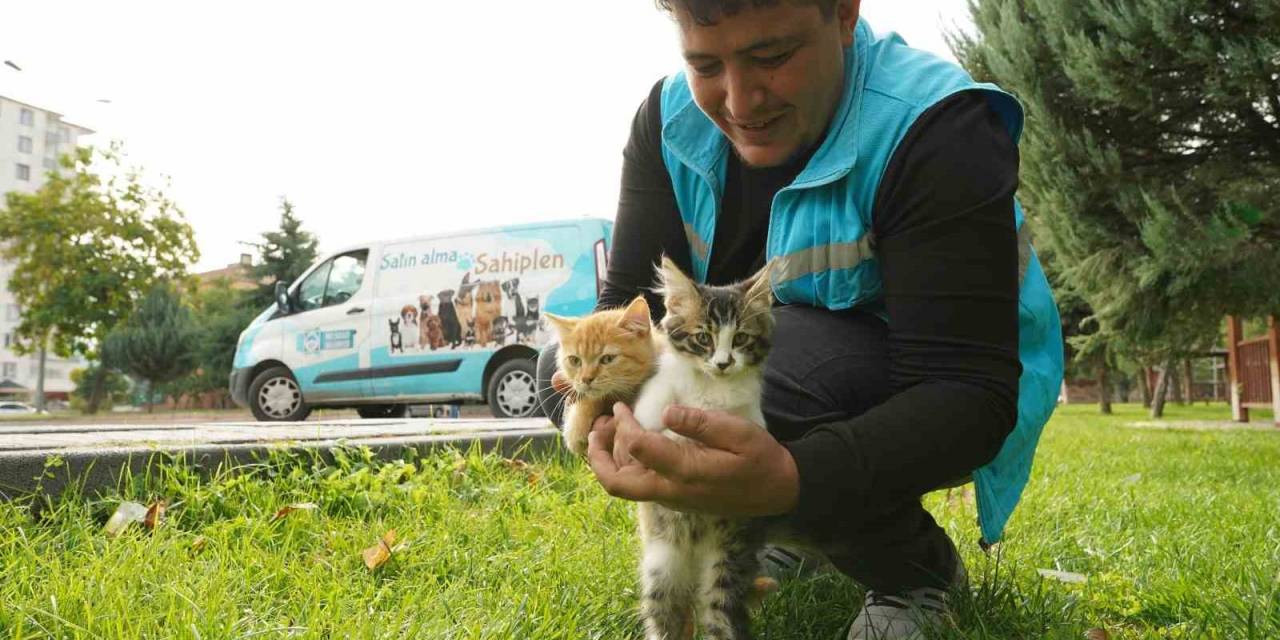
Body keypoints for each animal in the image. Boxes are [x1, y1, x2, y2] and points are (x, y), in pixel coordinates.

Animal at [632, 254, 773, 640]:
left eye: (740, 338)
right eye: (702, 338)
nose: (723, 363)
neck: (712, 389)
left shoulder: (750, 423)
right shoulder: (651, 406)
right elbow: (656, 425)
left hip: (725, 562)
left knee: (719, 614)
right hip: (661, 568)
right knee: (664, 614)